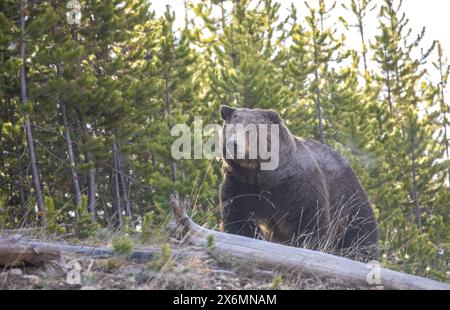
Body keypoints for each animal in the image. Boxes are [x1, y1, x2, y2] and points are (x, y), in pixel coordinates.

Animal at [220, 105, 378, 260]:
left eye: (250, 131)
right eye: (232, 128)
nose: (233, 144)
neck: (259, 174)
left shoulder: (295, 185)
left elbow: (309, 220)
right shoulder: (240, 185)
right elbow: (238, 217)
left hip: (349, 199)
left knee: (360, 232)